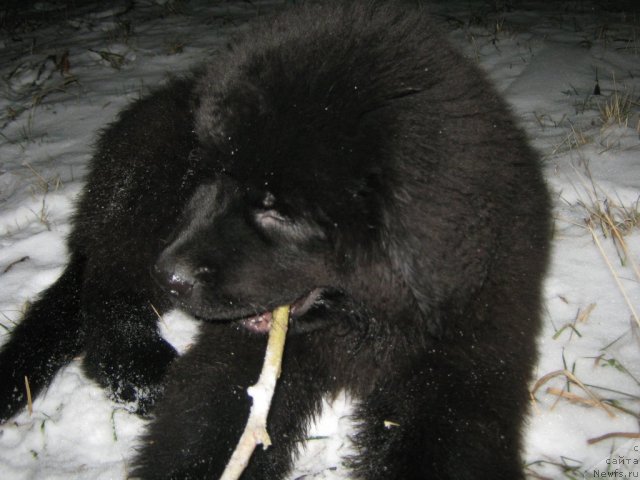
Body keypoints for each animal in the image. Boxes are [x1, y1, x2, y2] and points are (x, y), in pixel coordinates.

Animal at [0, 1, 552, 478]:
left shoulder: (464, 363)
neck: (360, 322)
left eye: (276, 209)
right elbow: (206, 426)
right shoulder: (245, 355)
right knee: (108, 299)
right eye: (212, 178)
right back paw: (145, 372)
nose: (172, 275)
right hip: (143, 200)